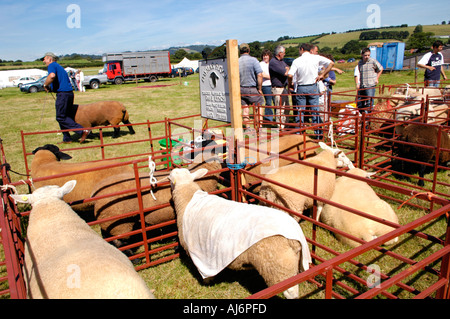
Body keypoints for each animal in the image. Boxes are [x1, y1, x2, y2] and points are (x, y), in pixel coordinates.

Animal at [167, 168, 312, 300]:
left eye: (170, 178)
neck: (188, 198)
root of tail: (294, 235)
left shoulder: (200, 251)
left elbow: (205, 271)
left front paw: (207, 281)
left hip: (278, 266)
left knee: (291, 292)